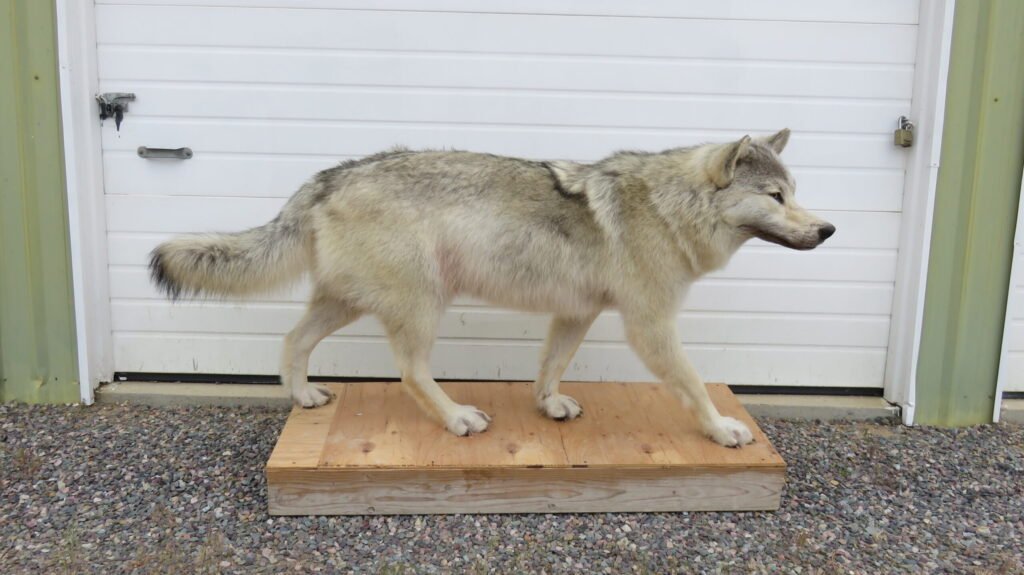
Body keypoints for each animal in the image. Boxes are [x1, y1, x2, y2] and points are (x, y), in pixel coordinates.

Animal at [149, 129, 834, 447]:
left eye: (794, 193)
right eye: (776, 197)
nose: (829, 229)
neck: (668, 207)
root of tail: (329, 176)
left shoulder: (576, 315)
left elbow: (550, 369)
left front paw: (549, 407)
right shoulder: (651, 326)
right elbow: (693, 385)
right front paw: (721, 430)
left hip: (346, 303)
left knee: (293, 341)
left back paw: (304, 397)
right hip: (423, 304)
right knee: (410, 374)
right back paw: (457, 418)